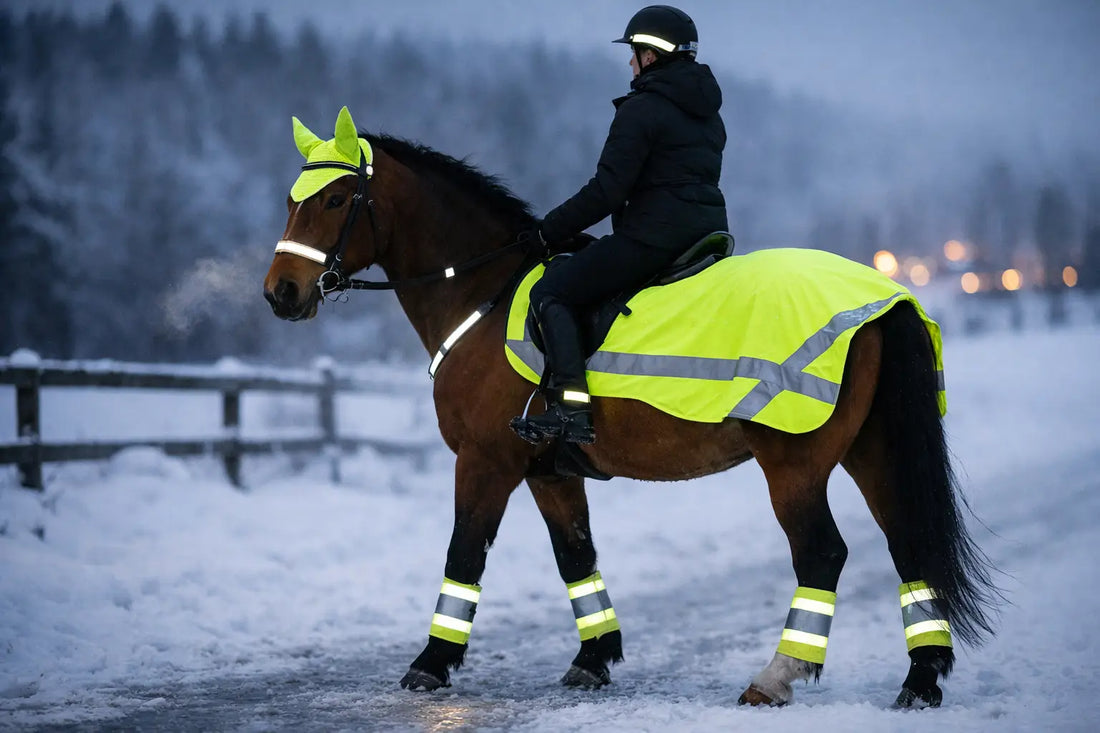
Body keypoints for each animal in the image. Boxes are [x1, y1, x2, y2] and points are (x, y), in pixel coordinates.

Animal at [263, 110, 999, 708]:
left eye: (335, 199)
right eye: (293, 201)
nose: (281, 292)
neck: (483, 295)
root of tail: (884, 299)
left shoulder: (485, 460)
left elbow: (464, 552)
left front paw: (432, 662)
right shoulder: (549, 470)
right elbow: (575, 555)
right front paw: (593, 659)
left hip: (795, 464)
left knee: (822, 555)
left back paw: (776, 677)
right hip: (873, 450)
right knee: (909, 545)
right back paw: (920, 680)